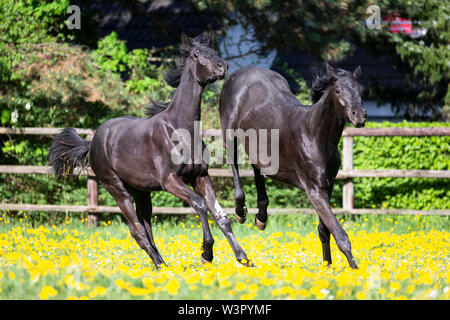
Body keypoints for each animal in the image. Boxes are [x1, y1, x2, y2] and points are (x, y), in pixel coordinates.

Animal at [51, 32, 251, 268]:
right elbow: (200, 204)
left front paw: (244, 258)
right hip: (116, 187)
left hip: (140, 191)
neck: (179, 129)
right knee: (136, 229)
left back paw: (163, 265)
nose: (223, 66)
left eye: (213, 51)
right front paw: (206, 253)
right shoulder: (170, 180)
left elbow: (221, 217)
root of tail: (92, 143)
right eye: (196, 54)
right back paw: (159, 265)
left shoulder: (201, 176)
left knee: (147, 227)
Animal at [220, 63, 368, 268]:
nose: (359, 116)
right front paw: (355, 271)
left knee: (257, 168)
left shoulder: (327, 186)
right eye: (338, 90)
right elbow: (340, 235)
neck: (314, 135)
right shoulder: (314, 190)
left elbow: (324, 231)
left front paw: (327, 267)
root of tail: (238, 73)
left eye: (362, 90)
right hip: (229, 135)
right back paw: (240, 211)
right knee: (234, 165)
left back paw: (261, 217)